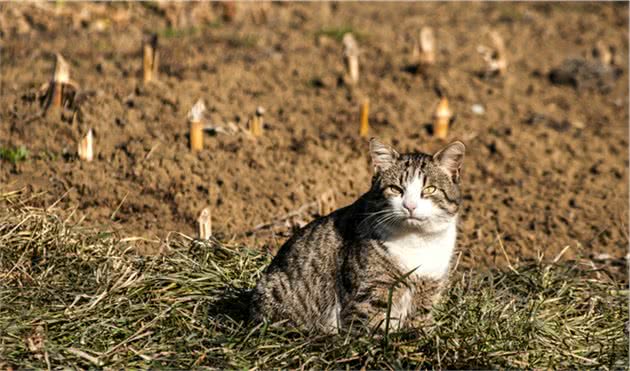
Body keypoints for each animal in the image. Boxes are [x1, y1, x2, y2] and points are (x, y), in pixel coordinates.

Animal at [249, 137, 466, 334]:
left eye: (430, 189)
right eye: (395, 189)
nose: (410, 206)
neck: (417, 240)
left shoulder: (429, 288)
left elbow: (419, 323)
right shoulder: (369, 293)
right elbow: (369, 329)